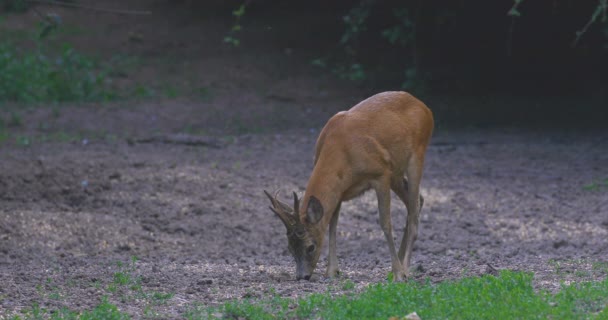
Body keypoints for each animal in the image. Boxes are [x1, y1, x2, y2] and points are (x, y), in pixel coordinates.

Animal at [264, 91, 432, 282]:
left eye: (310, 247)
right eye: (289, 248)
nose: (302, 276)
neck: (342, 152)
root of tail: (424, 108)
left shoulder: (381, 174)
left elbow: (385, 223)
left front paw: (398, 273)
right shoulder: (340, 189)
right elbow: (332, 225)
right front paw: (332, 271)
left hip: (417, 155)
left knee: (414, 209)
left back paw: (405, 269)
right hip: (396, 172)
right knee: (417, 201)